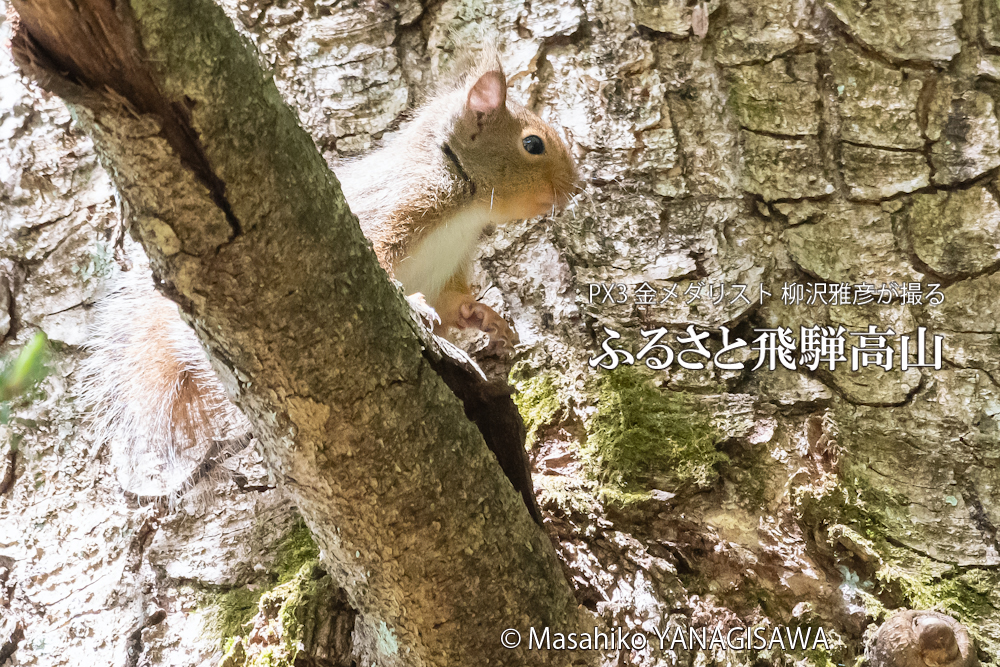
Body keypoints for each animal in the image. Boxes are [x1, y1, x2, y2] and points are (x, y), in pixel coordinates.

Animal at [83, 53, 584, 520]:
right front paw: (416, 307)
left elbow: (456, 304)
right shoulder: (393, 210)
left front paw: (487, 317)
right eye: (533, 144)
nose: (575, 189)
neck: (465, 205)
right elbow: (385, 262)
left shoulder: (450, 270)